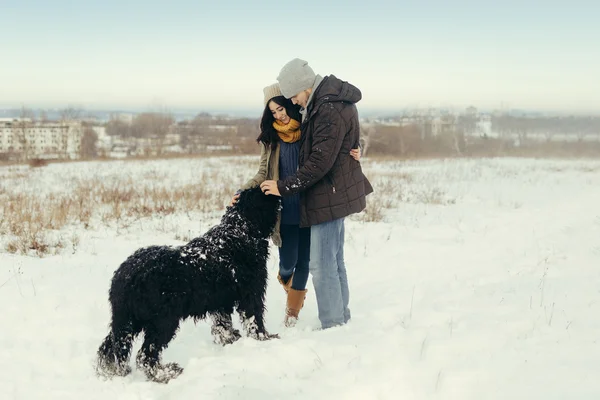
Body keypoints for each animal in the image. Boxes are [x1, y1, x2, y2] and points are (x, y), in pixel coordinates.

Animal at [95, 188, 282, 384]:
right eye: (263, 194)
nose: (276, 193)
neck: (240, 229)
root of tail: (125, 276)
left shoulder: (221, 300)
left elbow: (222, 325)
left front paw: (229, 339)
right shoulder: (251, 292)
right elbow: (254, 318)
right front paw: (264, 338)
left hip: (127, 319)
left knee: (110, 347)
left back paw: (110, 371)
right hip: (162, 320)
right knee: (145, 355)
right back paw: (166, 373)